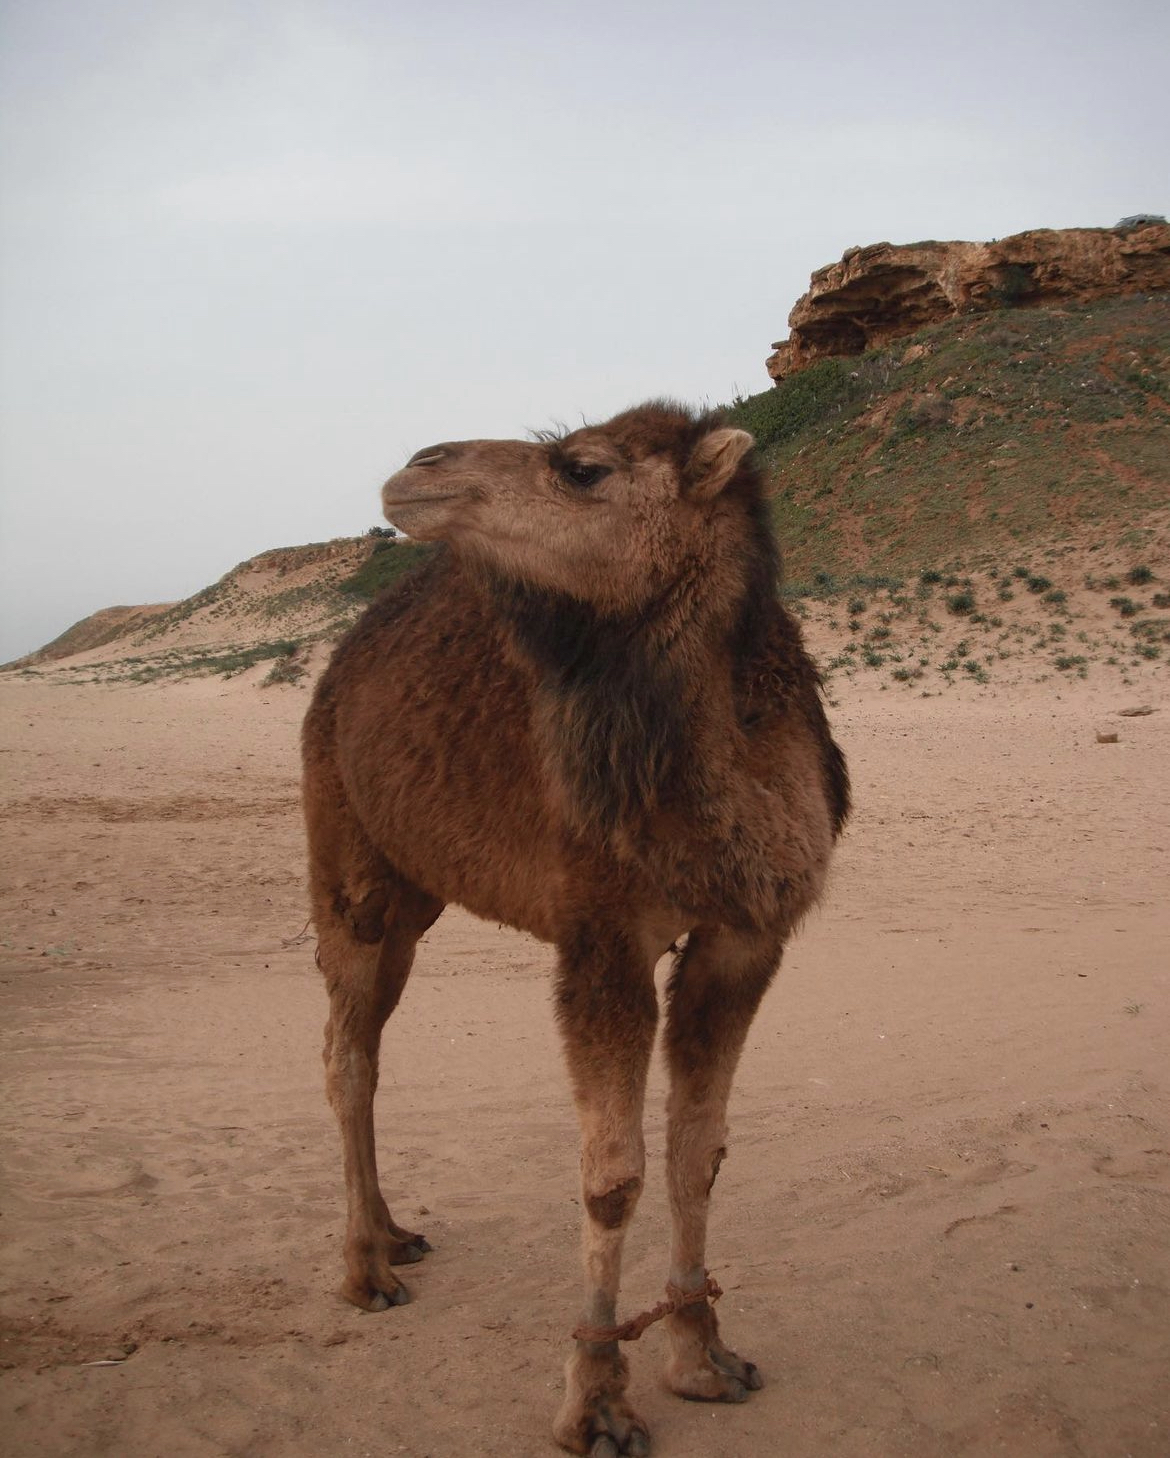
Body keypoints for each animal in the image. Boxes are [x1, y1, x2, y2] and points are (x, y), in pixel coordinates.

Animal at [300, 402, 846, 1458]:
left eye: (582, 468)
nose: (418, 466)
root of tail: (339, 664)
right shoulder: (603, 937)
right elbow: (611, 1177)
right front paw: (596, 1402)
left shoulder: (744, 939)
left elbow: (697, 1152)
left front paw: (705, 1359)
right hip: (346, 854)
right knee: (345, 1051)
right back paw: (363, 1273)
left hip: (415, 892)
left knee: (371, 1044)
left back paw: (394, 1235)